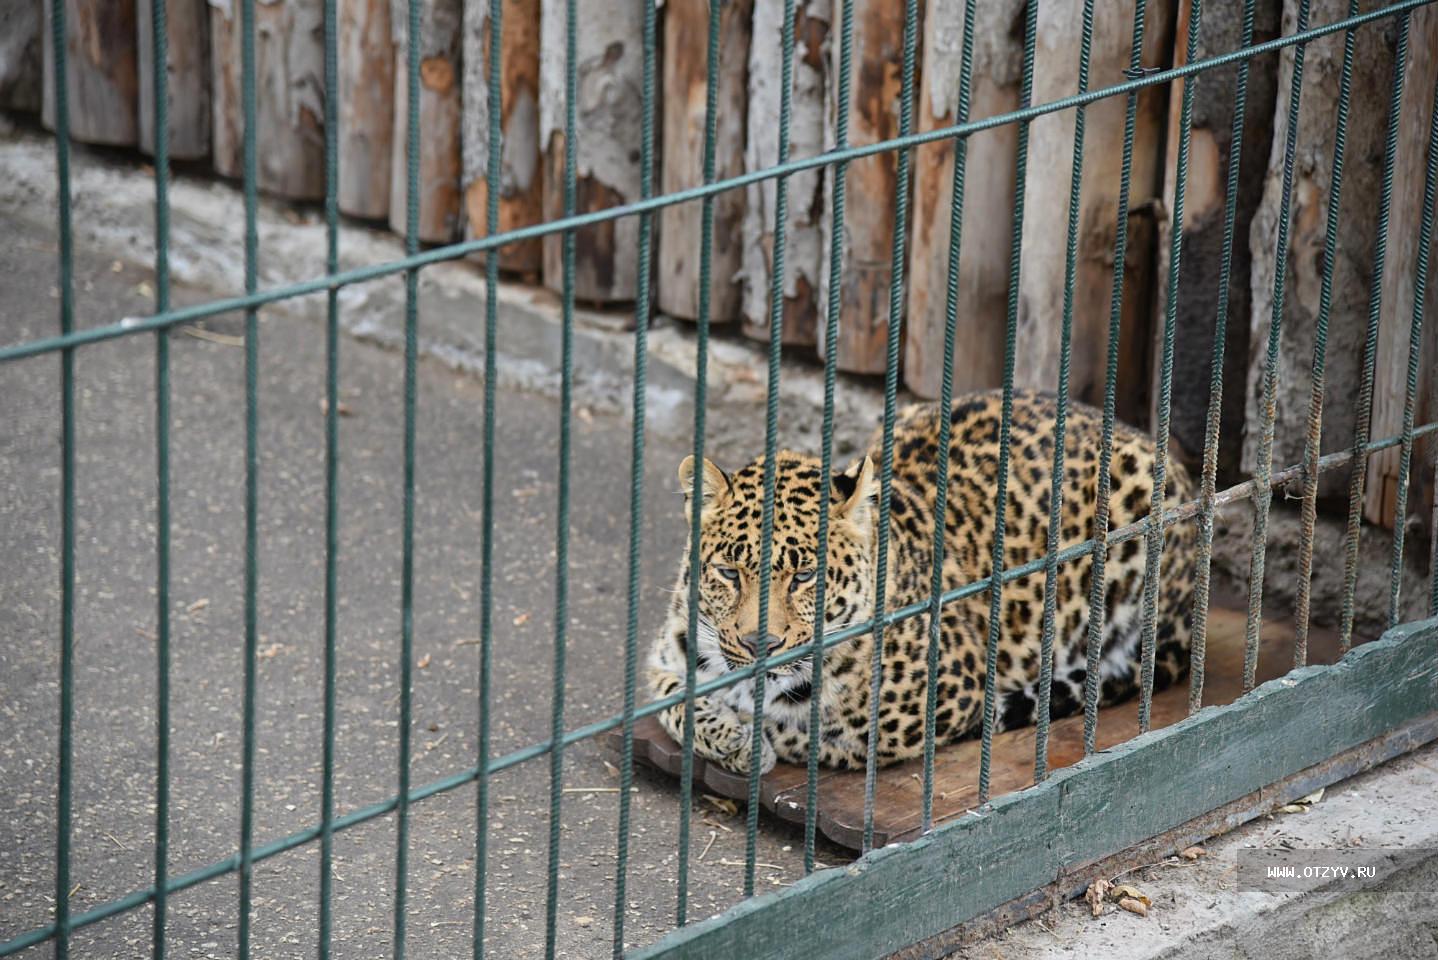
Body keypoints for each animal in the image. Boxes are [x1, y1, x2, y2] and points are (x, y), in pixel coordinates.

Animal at [647, 393, 1196, 776]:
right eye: (728, 573)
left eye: (804, 577)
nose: (761, 645)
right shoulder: (665, 654)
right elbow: (669, 699)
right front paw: (729, 734)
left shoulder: (939, 700)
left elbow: (817, 734)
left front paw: (751, 738)